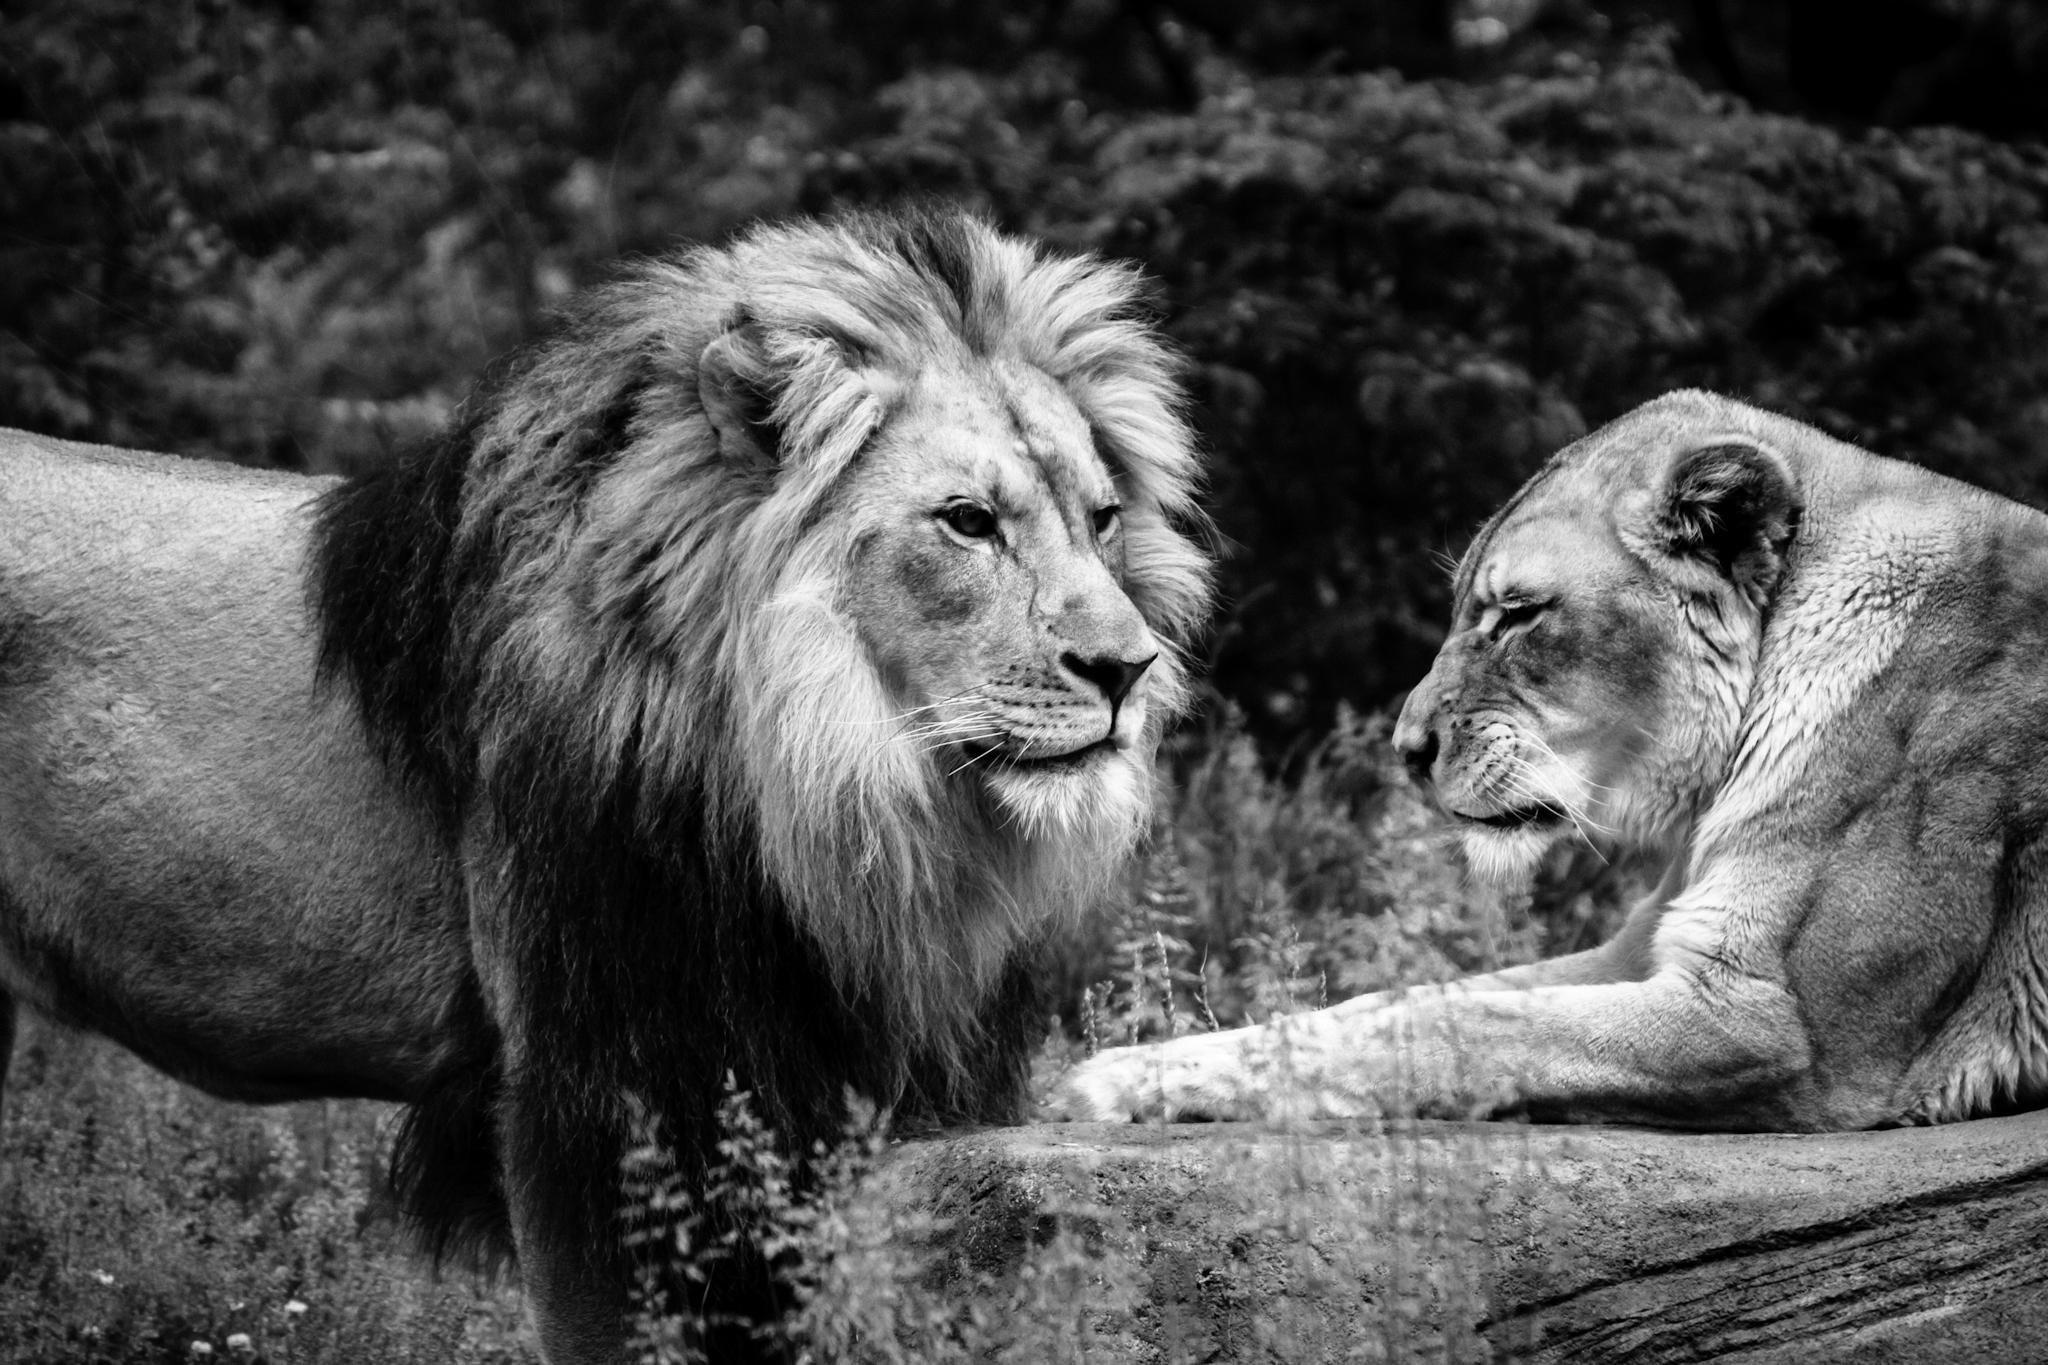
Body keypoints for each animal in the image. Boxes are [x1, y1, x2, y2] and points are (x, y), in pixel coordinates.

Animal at [1054, 389, 2048, 1133]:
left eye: (1518, 614)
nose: (1406, 750)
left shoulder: (1777, 1023)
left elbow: (1457, 1025)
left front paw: (1129, 1082)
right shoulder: (1637, 951)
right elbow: (1397, 1000)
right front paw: (1159, 1058)